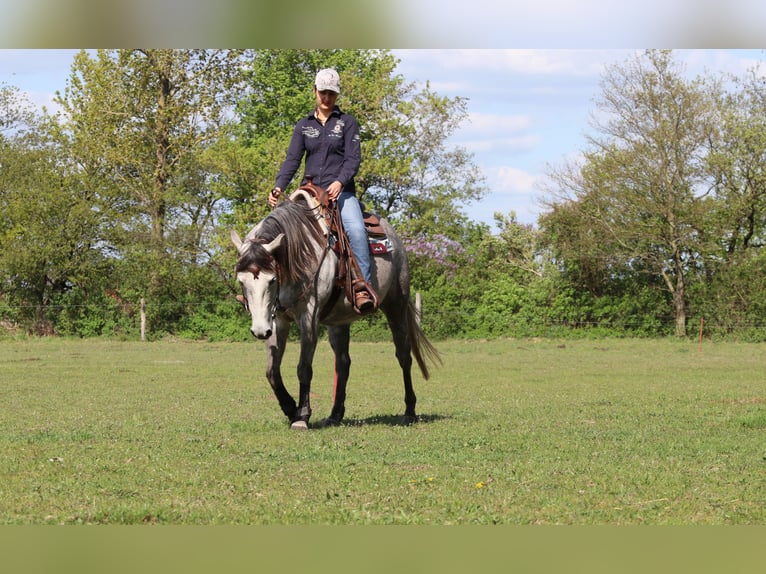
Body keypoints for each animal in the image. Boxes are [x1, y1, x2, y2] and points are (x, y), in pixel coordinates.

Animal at [231, 196, 440, 430]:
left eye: (272, 280)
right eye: (241, 281)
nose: (259, 331)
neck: (300, 253)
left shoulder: (309, 318)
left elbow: (304, 368)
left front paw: (302, 416)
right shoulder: (276, 321)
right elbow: (272, 371)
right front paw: (290, 408)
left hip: (396, 305)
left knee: (404, 356)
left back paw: (409, 412)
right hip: (339, 322)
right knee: (343, 363)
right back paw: (335, 414)